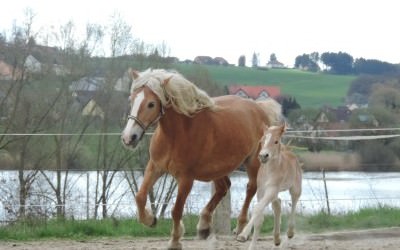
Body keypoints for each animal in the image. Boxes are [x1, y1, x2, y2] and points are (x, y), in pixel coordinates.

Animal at [122, 69, 282, 250]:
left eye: (151, 104)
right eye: (132, 100)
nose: (129, 138)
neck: (175, 135)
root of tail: (259, 107)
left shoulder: (186, 179)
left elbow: (176, 210)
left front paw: (175, 240)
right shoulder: (155, 167)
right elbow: (140, 197)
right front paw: (150, 220)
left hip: (253, 161)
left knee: (250, 188)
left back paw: (241, 228)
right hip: (217, 168)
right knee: (223, 188)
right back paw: (204, 226)